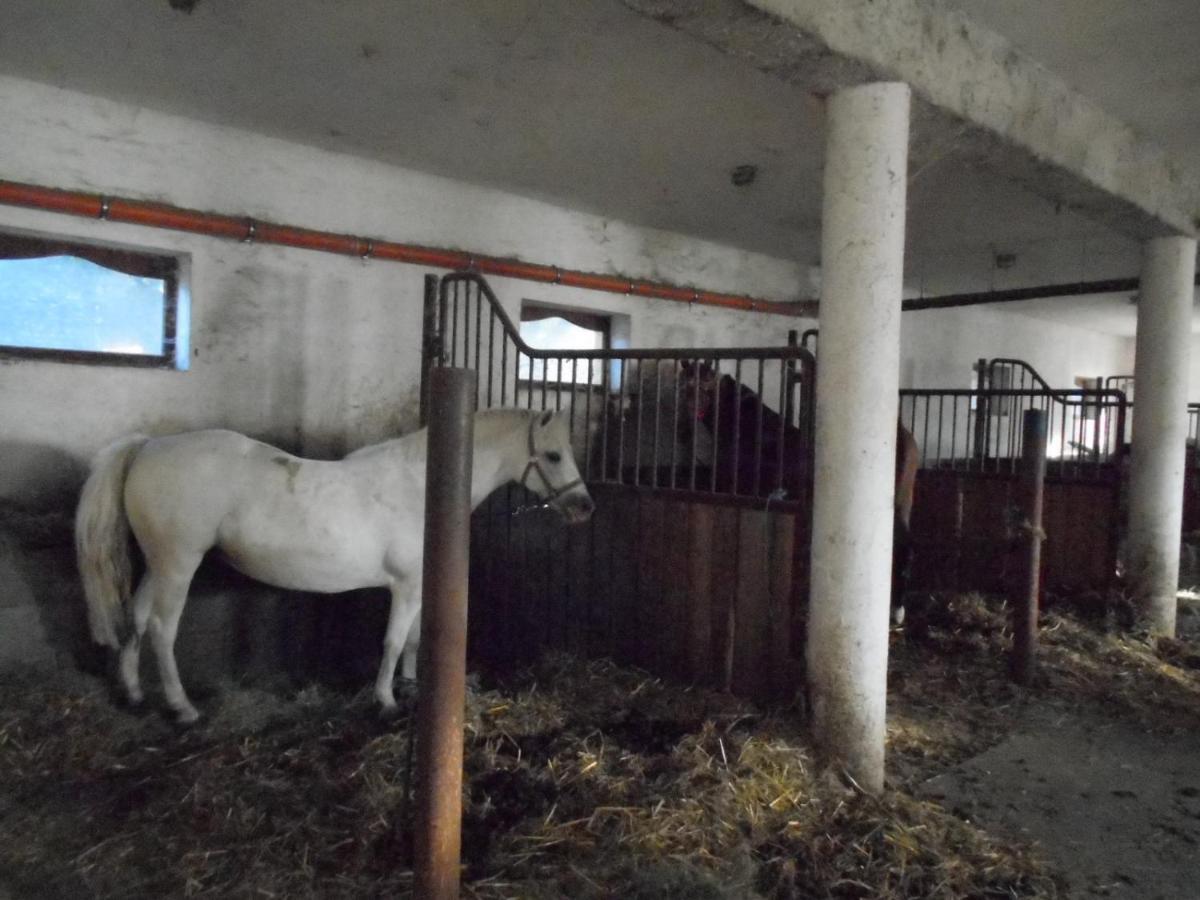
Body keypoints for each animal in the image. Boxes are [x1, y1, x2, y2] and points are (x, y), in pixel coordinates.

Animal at [73, 408, 590, 724]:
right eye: (553, 455)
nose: (584, 507)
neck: (422, 487)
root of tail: (148, 446)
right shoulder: (405, 586)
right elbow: (392, 640)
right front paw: (385, 701)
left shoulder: (420, 584)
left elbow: (413, 639)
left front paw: (410, 685)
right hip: (179, 565)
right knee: (163, 630)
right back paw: (182, 707)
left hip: (157, 565)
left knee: (139, 619)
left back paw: (134, 693)